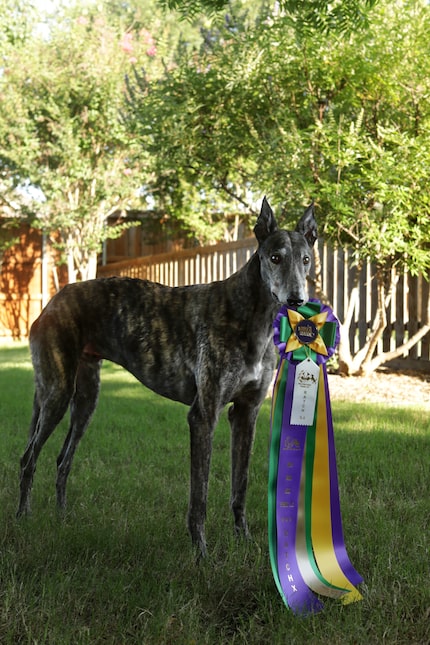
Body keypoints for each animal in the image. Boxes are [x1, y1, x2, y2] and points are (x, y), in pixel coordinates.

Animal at [16, 195, 316, 552]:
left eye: (306, 259)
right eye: (275, 257)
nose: (297, 299)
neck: (249, 315)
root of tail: (52, 301)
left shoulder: (246, 413)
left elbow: (239, 486)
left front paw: (244, 540)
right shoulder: (203, 416)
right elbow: (199, 497)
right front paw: (201, 553)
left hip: (86, 398)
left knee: (63, 460)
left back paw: (62, 519)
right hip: (58, 393)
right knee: (28, 458)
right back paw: (24, 519)